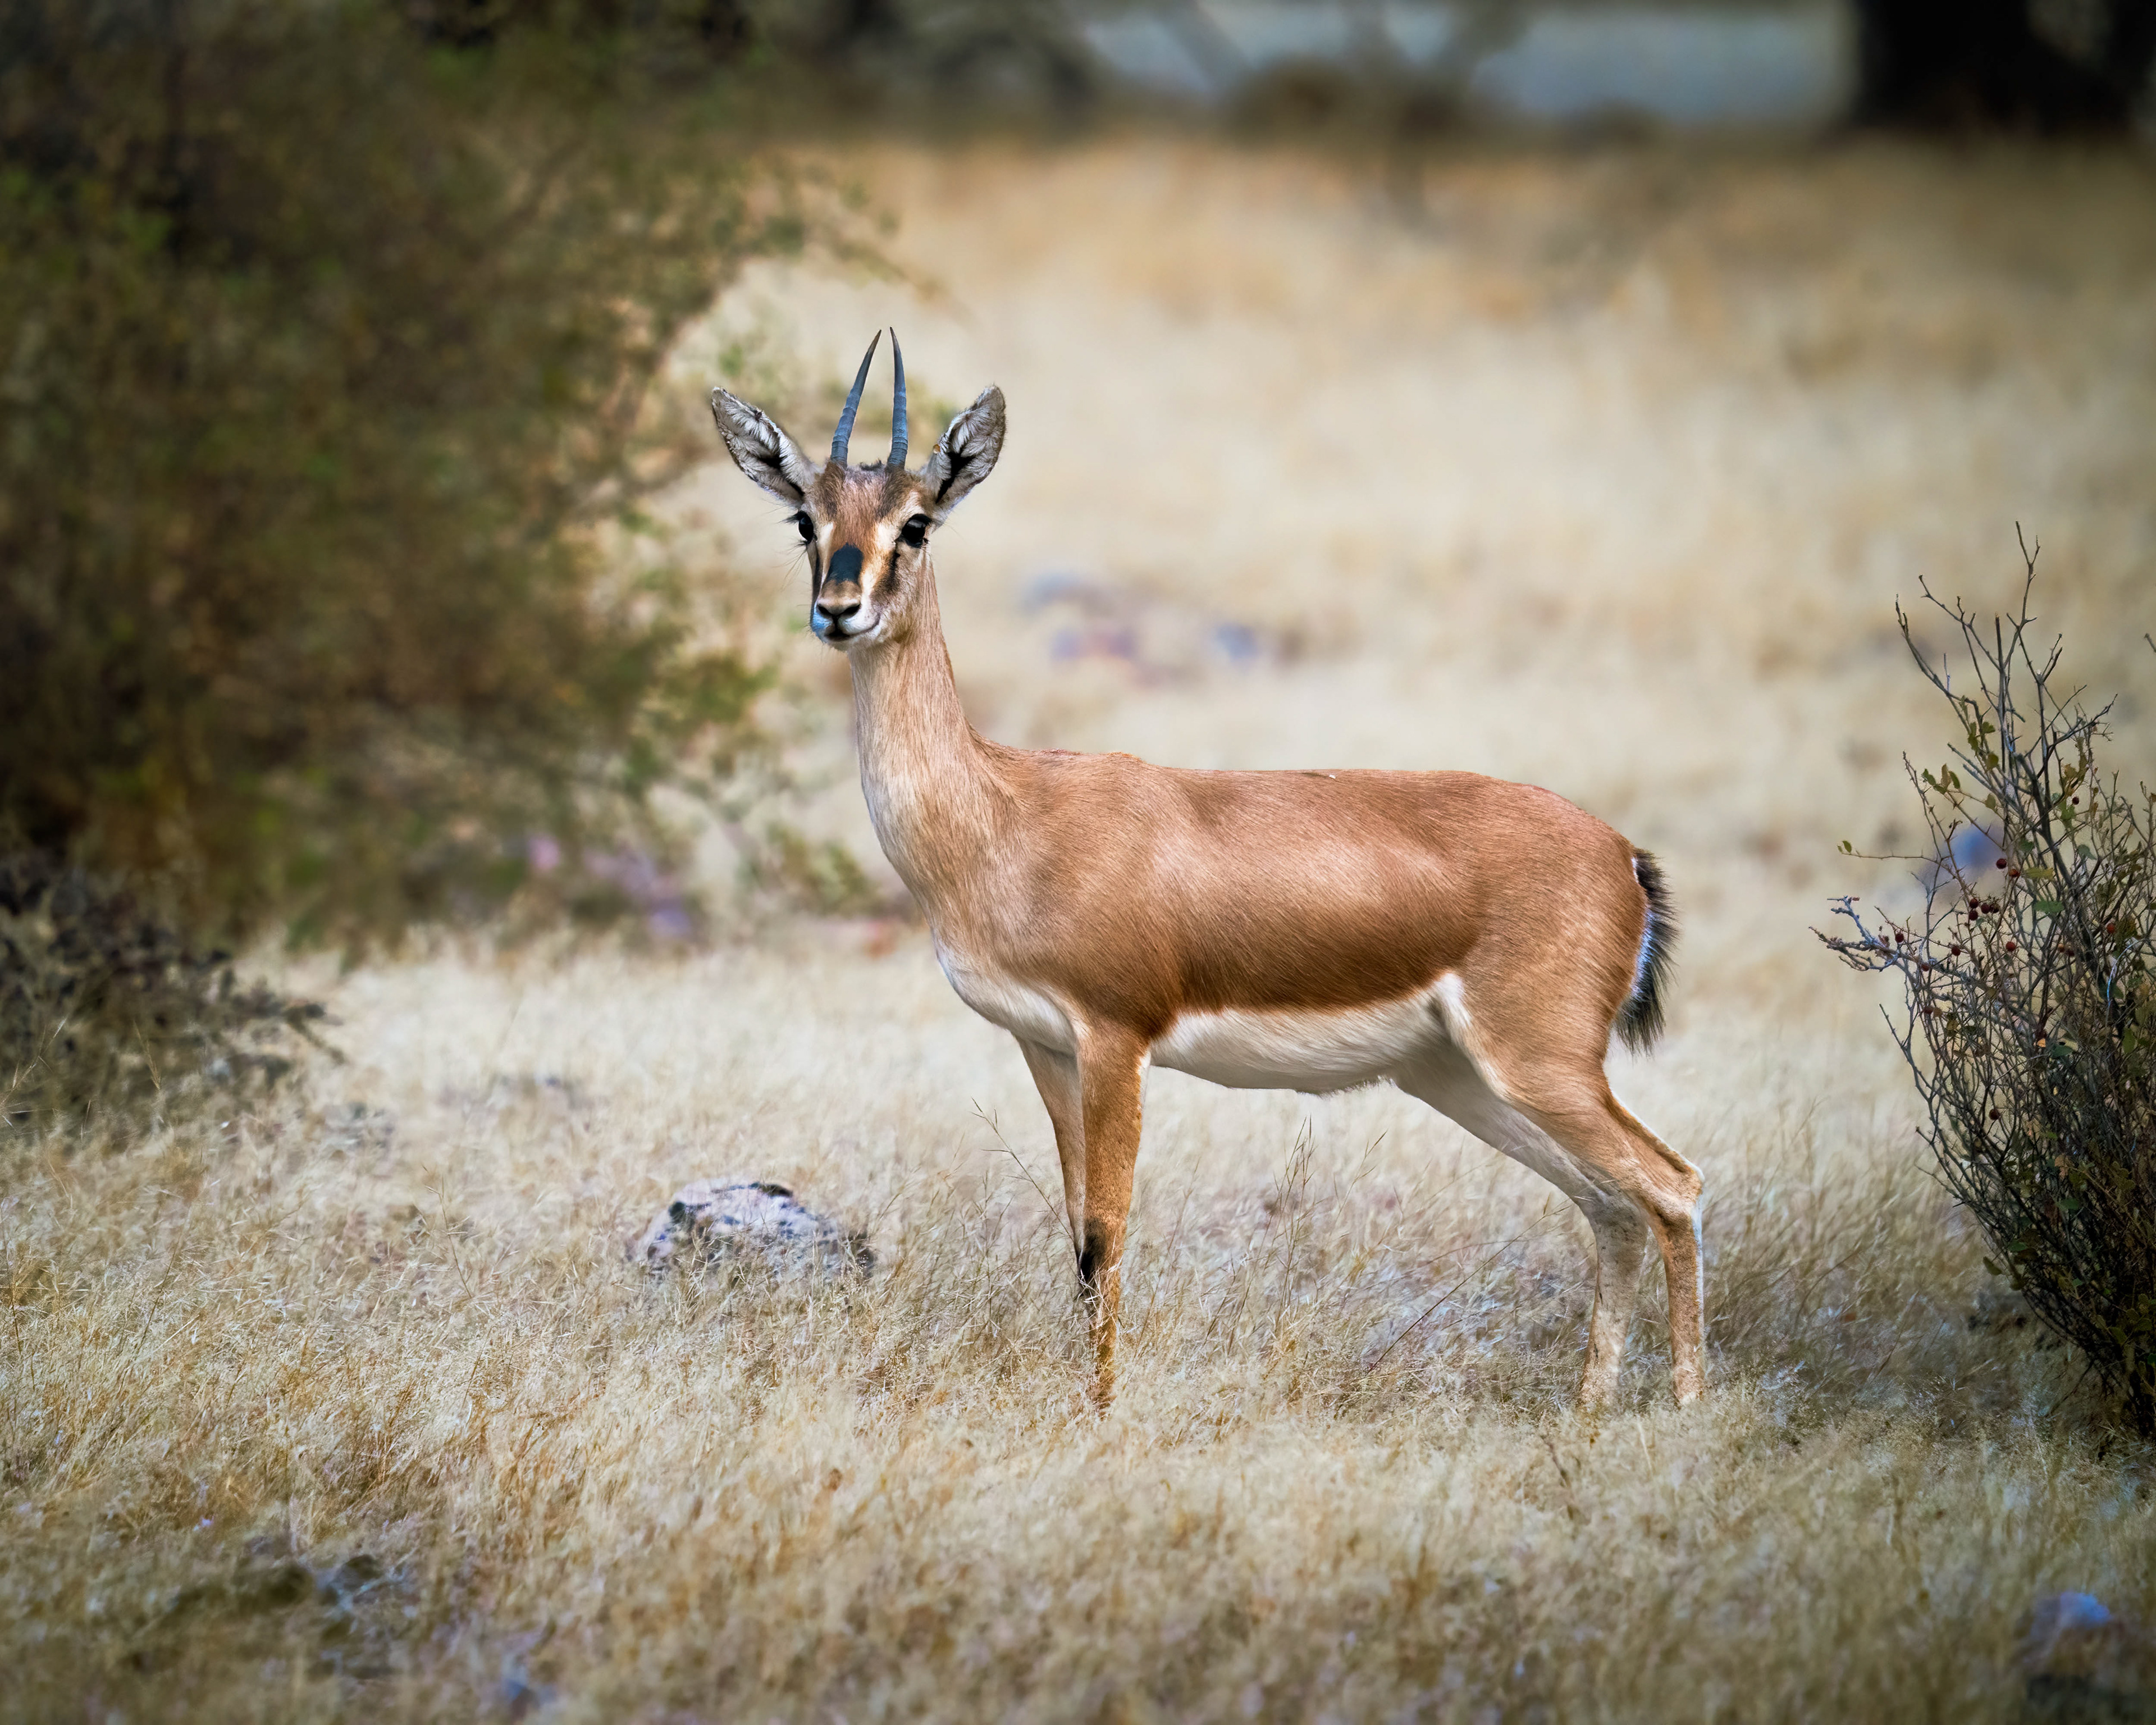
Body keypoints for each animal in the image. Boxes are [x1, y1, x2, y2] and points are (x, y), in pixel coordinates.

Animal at [709, 333, 1704, 1409]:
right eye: (806, 518)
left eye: (918, 522)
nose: (838, 609)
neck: (1005, 816)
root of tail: (1624, 857)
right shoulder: (1045, 1046)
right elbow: (1075, 1236)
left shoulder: (1115, 1038)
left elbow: (1107, 1236)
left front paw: (1103, 1413)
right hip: (1463, 1078)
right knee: (1612, 1207)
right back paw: (1590, 1414)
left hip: (1539, 1066)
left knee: (1673, 1187)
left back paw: (1684, 1411)